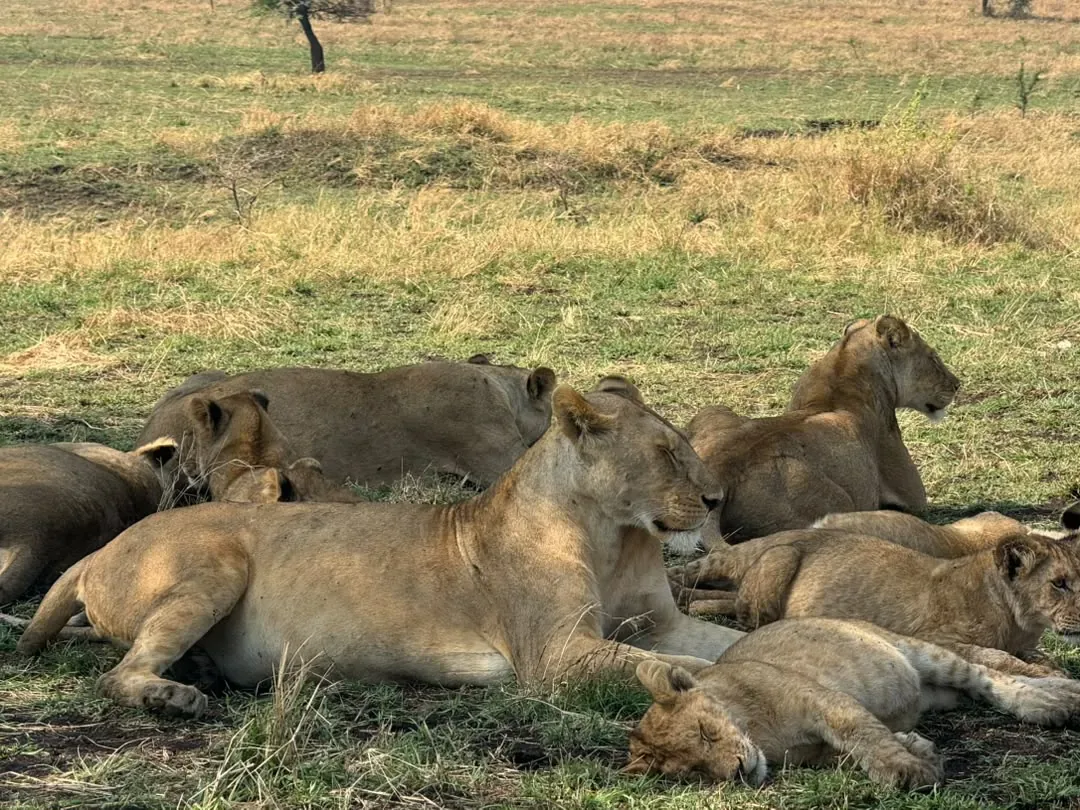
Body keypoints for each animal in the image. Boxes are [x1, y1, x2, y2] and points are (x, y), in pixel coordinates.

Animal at [626, 618, 1080, 789]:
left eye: (706, 732)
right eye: (695, 772)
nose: (738, 772)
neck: (761, 736)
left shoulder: (822, 699)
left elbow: (862, 735)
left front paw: (908, 771)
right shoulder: (812, 754)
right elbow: (853, 750)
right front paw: (919, 750)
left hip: (918, 652)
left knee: (986, 675)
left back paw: (1050, 700)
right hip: (937, 694)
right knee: (972, 685)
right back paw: (1062, 691)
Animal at [669, 529, 1080, 676]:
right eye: (1060, 584)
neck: (1019, 622)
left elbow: (1041, 655)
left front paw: (1049, 666)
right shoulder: (935, 637)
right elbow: (995, 656)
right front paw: (1046, 674)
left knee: (723, 598)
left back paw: (691, 604)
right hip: (779, 556)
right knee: (730, 599)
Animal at [688, 316, 959, 544]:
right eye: (934, 358)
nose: (957, 385)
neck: (846, 359)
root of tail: (721, 472)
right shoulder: (912, 493)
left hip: (713, 410)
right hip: (839, 502)